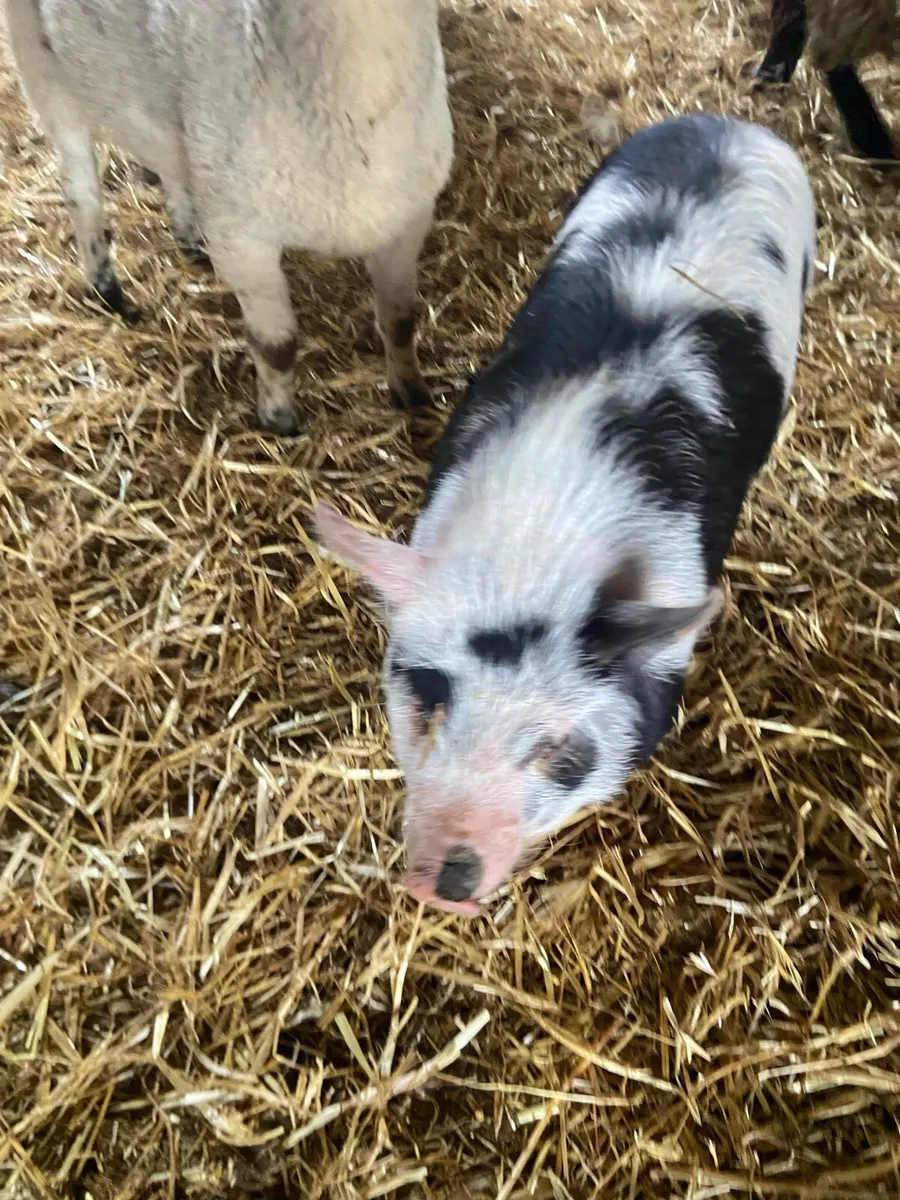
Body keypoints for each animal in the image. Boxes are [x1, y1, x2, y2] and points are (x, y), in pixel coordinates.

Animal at [3, 0, 453, 433]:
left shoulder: (408, 220)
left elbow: (400, 319)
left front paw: (412, 393)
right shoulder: (243, 240)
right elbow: (276, 347)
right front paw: (279, 422)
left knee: (170, 162)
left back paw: (188, 238)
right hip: (40, 63)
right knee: (82, 190)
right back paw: (104, 286)